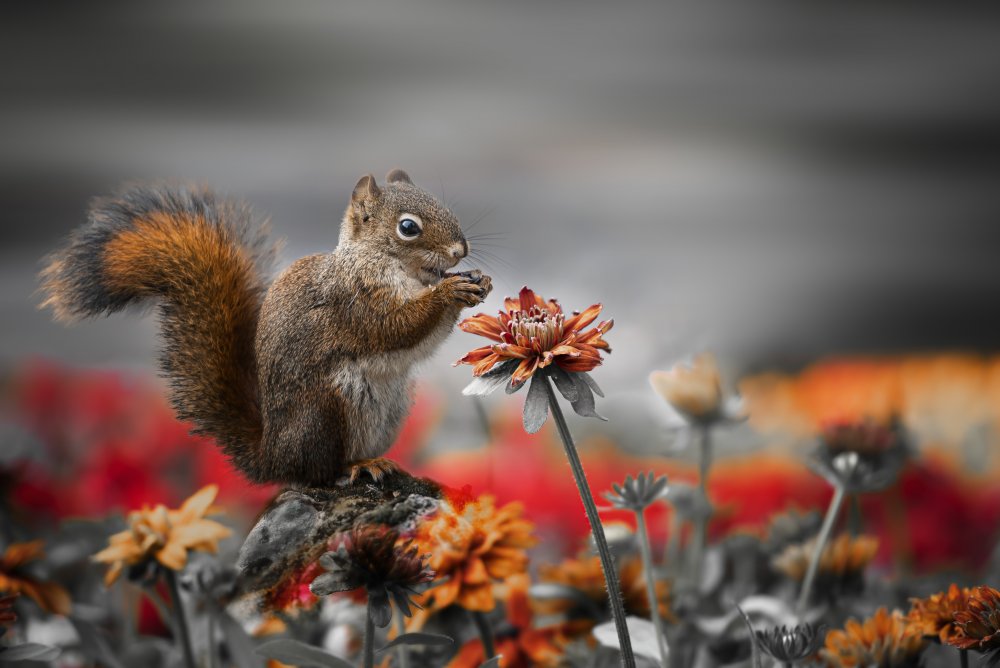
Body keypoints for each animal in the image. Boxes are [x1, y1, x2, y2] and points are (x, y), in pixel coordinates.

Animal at [39, 169, 492, 487]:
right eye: (408, 227)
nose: (460, 250)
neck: (391, 265)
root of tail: (272, 455)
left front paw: (478, 282)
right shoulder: (353, 301)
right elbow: (396, 327)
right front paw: (449, 291)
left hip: (393, 408)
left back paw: (376, 461)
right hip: (327, 409)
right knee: (316, 473)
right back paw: (354, 469)